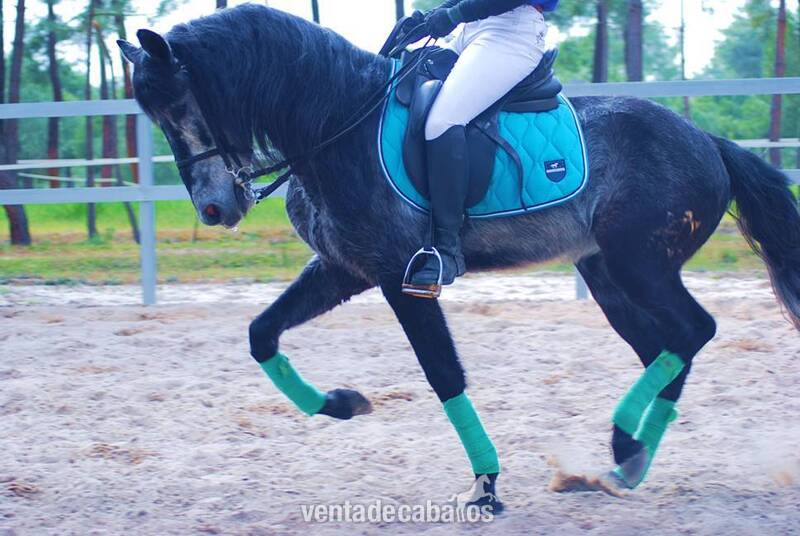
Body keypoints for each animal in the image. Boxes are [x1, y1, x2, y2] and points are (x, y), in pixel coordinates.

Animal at [117, 4, 800, 508]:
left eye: (180, 106)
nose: (214, 209)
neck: (335, 124)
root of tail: (706, 140)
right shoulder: (343, 270)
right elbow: (261, 333)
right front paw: (341, 404)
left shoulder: (400, 277)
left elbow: (443, 374)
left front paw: (487, 484)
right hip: (608, 273)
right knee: (665, 347)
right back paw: (623, 461)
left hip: (641, 264)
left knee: (693, 330)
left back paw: (619, 449)